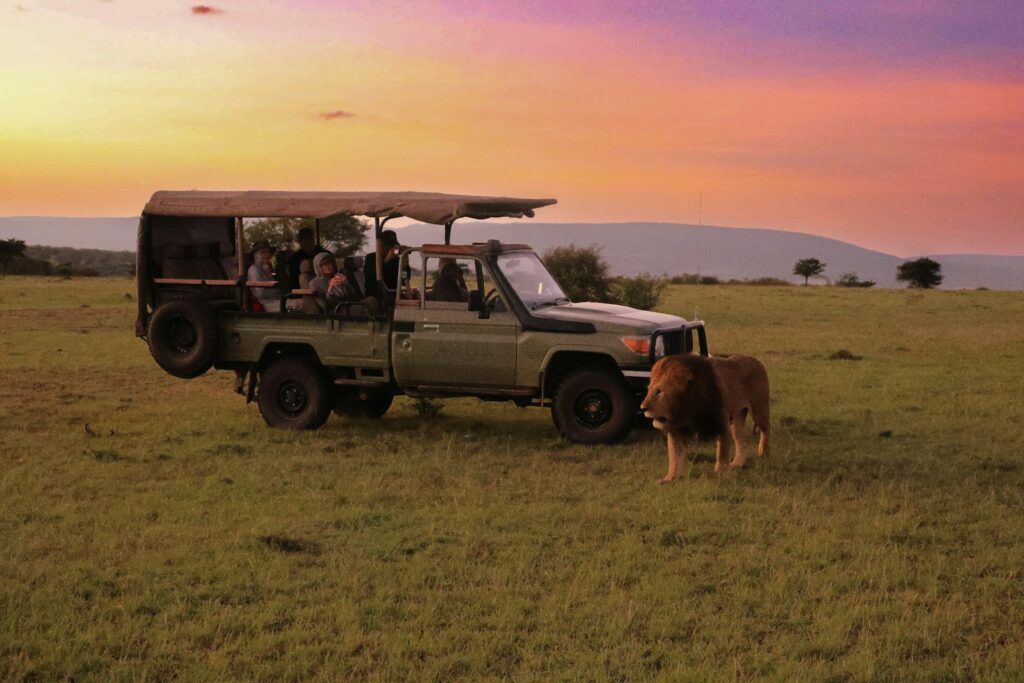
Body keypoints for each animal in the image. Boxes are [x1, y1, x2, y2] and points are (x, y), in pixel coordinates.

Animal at [641, 353, 771, 482]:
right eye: (648, 390)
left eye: (659, 392)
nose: (643, 408)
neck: (685, 409)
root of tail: (757, 360)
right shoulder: (675, 430)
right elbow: (673, 456)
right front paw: (669, 478)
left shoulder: (721, 423)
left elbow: (722, 452)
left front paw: (720, 473)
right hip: (737, 417)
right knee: (740, 439)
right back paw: (737, 463)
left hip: (759, 410)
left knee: (766, 429)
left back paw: (763, 452)